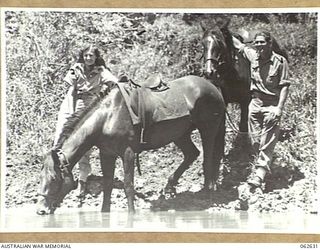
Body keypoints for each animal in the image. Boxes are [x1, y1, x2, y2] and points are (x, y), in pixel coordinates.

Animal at [37, 75, 225, 214]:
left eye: (54, 179)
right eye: (41, 177)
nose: (41, 210)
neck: (107, 117)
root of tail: (213, 87)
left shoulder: (127, 153)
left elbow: (128, 186)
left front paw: (131, 215)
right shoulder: (107, 154)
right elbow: (107, 185)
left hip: (208, 130)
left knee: (207, 160)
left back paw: (207, 193)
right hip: (180, 134)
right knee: (192, 154)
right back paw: (169, 186)